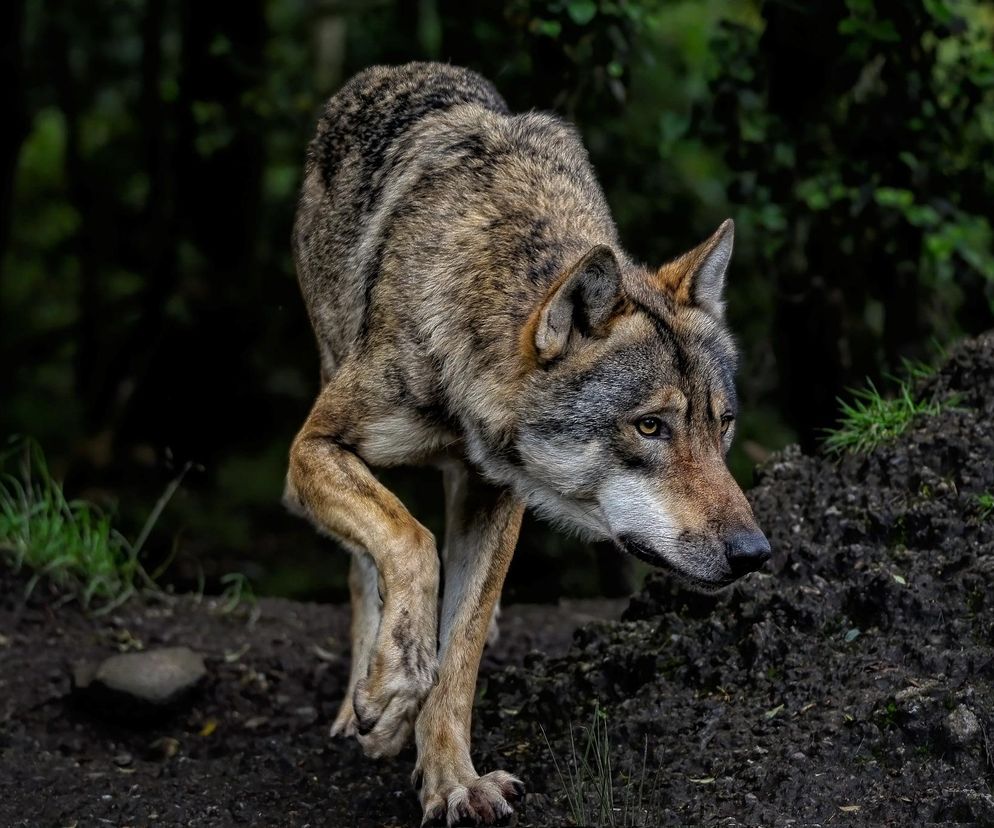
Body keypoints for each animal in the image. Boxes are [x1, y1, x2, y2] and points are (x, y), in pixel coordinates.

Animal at [282, 61, 772, 824]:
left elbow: (460, 654)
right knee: (366, 565)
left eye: (720, 425)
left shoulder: (497, 495)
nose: (755, 554)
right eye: (650, 427)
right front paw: (392, 687)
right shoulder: (313, 447)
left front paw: (452, 781)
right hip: (330, 379)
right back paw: (366, 698)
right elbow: (409, 542)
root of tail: (386, 73)